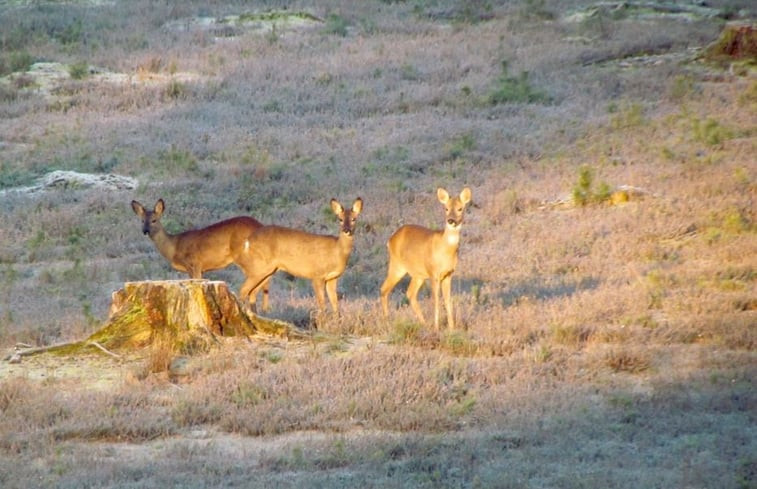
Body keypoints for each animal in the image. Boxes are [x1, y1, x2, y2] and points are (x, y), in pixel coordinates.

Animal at [131, 197, 270, 308]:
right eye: (142, 220)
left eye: (154, 220)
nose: (145, 231)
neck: (174, 246)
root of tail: (260, 225)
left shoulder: (194, 263)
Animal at [378, 186, 472, 328]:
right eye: (446, 208)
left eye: (460, 208)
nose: (450, 220)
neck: (445, 250)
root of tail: (390, 240)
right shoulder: (433, 273)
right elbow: (436, 301)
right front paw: (437, 328)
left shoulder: (448, 274)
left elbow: (448, 301)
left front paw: (451, 328)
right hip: (397, 266)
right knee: (384, 289)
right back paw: (387, 321)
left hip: (418, 274)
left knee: (410, 293)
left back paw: (423, 323)